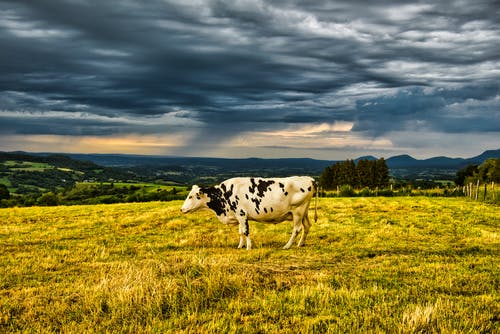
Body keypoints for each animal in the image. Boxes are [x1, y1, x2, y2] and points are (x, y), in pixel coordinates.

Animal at [181, 176, 316, 249]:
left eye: (191, 196)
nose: (181, 209)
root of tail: (309, 178)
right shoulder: (237, 215)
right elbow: (240, 232)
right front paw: (240, 246)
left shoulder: (241, 214)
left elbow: (246, 231)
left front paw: (248, 247)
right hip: (303, 212)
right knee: (307, 226)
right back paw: (301, 244)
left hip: (298, 211)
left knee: (297, 229)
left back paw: (287, 246)